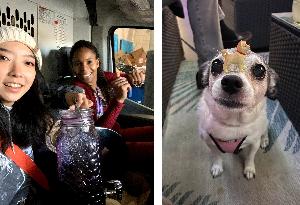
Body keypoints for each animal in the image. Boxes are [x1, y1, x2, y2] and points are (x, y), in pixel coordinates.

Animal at [198, 42, 278, 179]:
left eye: (259, 70)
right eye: (216, 64)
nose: (231, 81)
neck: (232, 123)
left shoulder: (254, 144)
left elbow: (250, 157)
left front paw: (249, 169)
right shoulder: (210, 143)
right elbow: (216, 155)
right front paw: (217, 167)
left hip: (264, 123)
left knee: (265, 131)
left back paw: (265, 140)